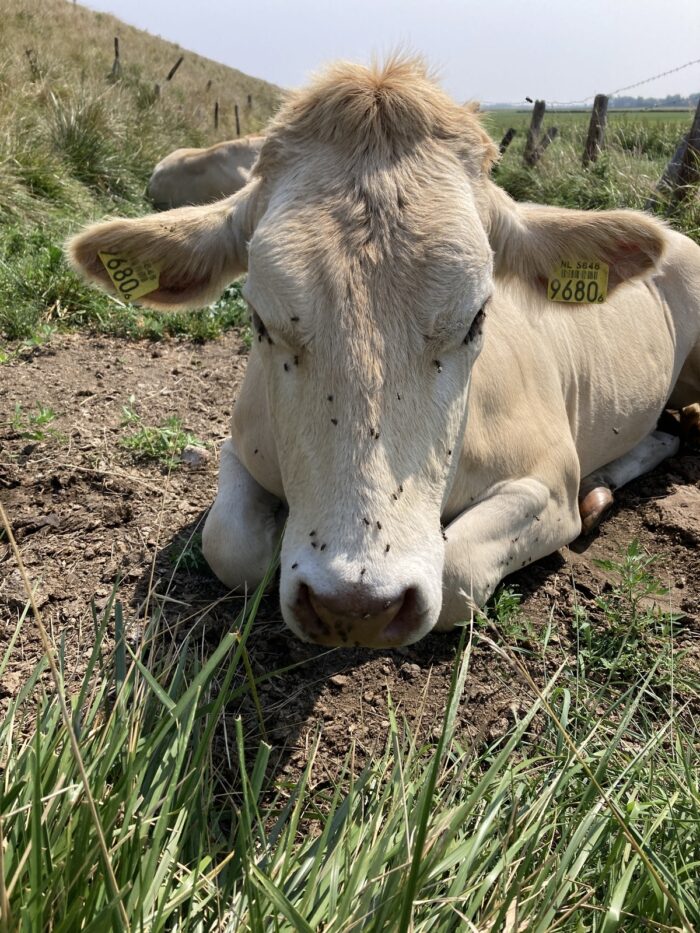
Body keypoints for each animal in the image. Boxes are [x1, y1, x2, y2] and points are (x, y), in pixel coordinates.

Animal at [69, 57, 700, 649]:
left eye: (477, 318)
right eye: (260, 320)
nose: (356, 605)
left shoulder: (550, 475)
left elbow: (456, 574)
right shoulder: (240, 444)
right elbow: (231, 545)